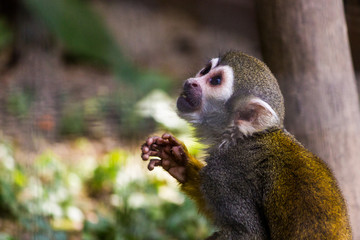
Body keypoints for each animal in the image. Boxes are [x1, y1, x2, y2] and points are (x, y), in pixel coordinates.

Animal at [140, 50, 352, 238]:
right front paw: (179, 162)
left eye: (215, 81)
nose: (191, 82)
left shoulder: (223, 175)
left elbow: (248, 233)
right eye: (205, 70)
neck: (240, 139)